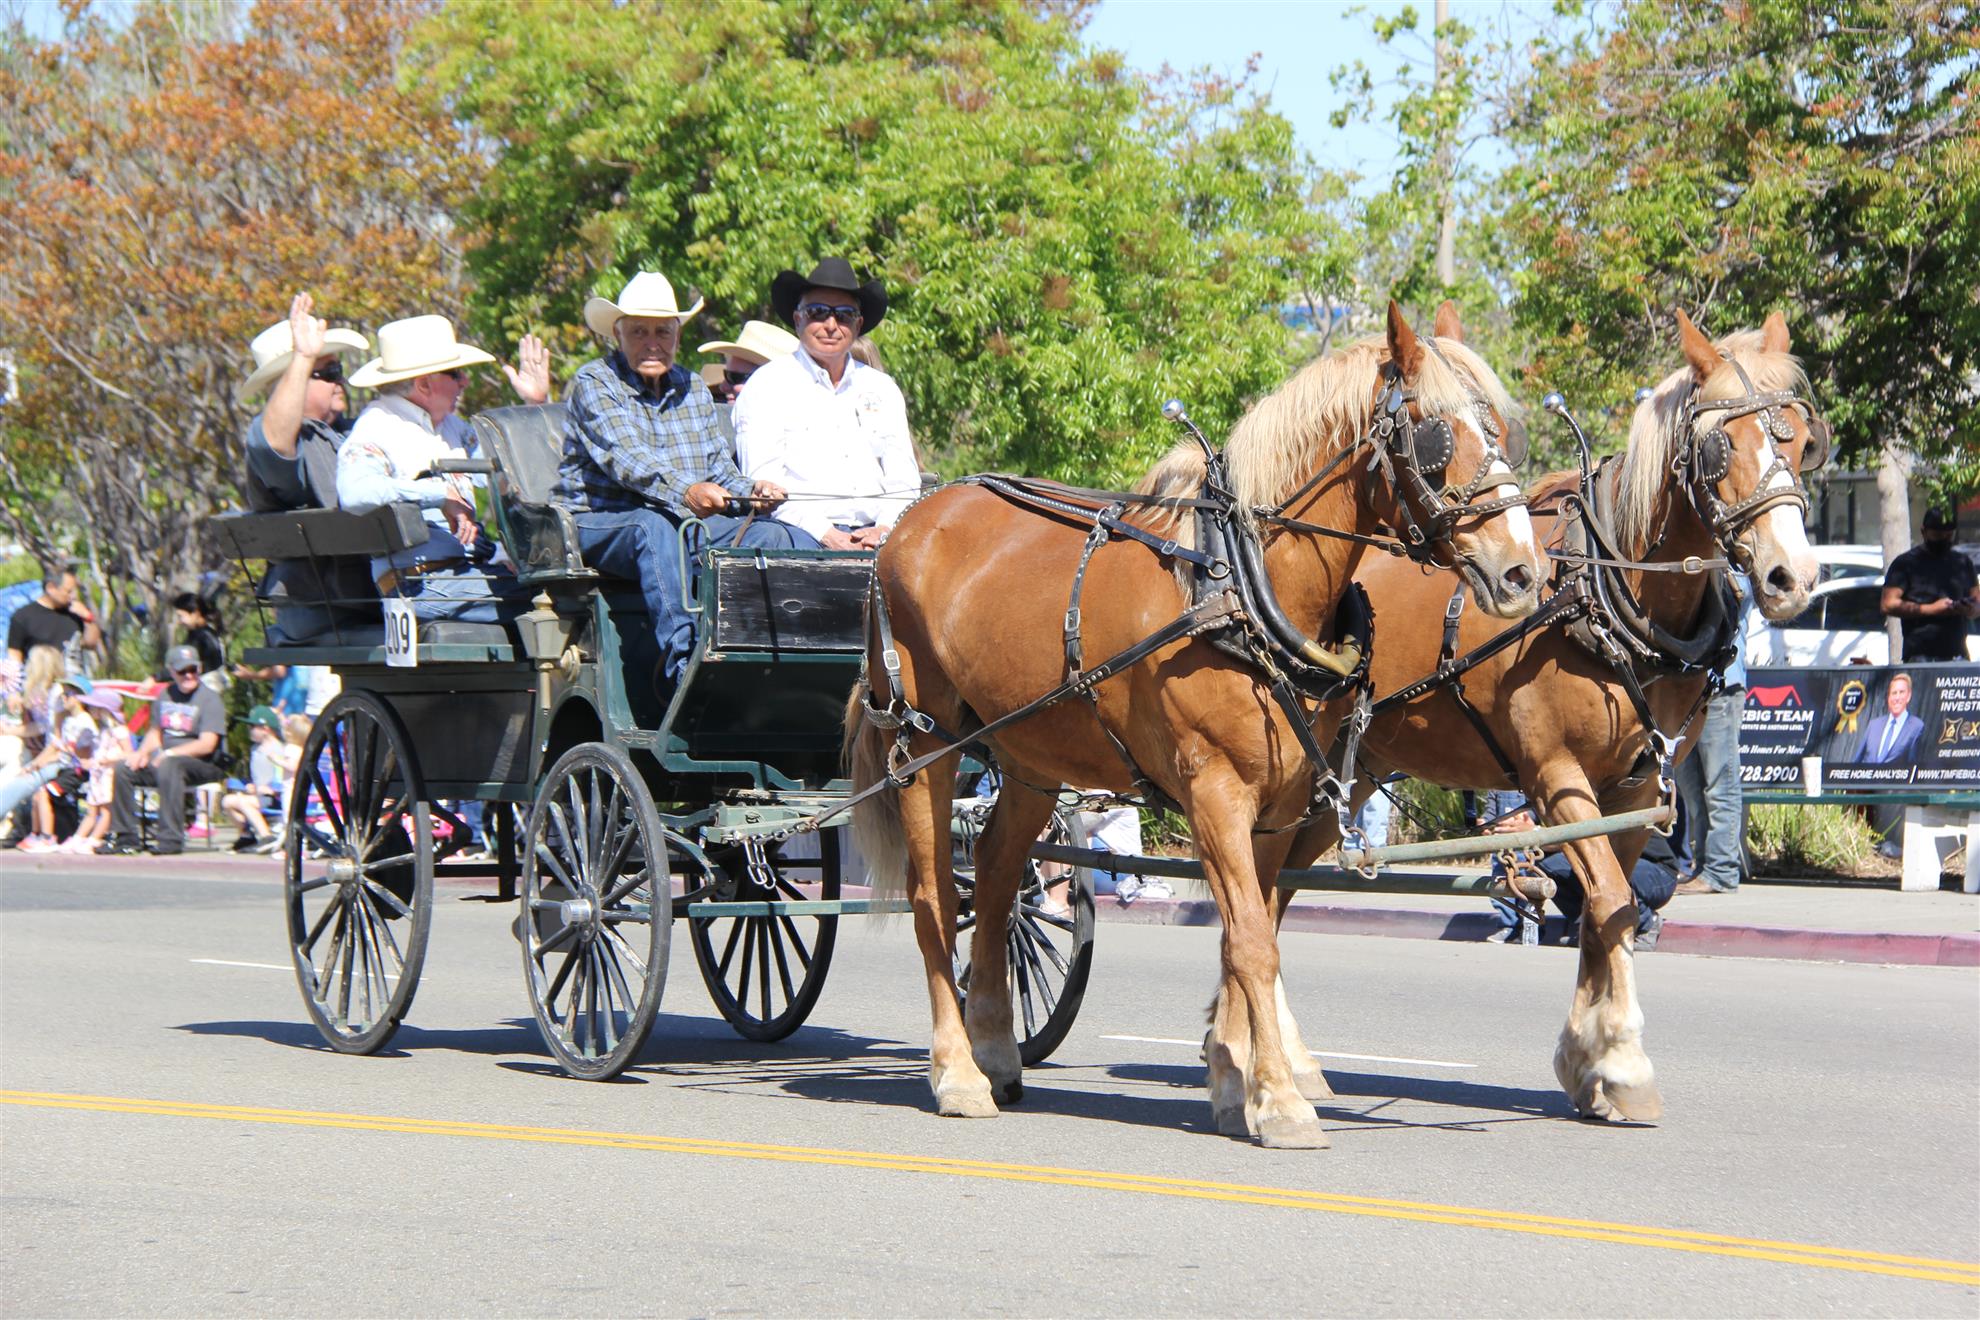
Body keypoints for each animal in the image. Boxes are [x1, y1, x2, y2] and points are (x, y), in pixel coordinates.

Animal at [843, 298, 1536, 1147]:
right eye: (1436, 437)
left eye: (1500, 432)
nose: (1522, 572)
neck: (1242, 581)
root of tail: (913, 521)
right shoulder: (1216, 793)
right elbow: (1252, 942)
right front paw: (1281, 1102)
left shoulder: (1275, 807)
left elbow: (1251, 935)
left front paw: (1240, 1087)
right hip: (925, 743)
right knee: (936, 898)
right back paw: (957, 1073)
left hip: (1030, 758)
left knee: (1001, 886)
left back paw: (998, 1053)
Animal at [1275, 312, 1813, 1124]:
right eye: (1720, 448)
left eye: (1806, 440)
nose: (1793, 577)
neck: (1611, 598)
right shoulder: (1557, 776)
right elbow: (1610, 897)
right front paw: (1621, 1061)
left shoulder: (1631, 791)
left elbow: (1606, 908)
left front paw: (1593, 1065)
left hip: (1352, 775)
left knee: (1272, 885)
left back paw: (1291, 1063)